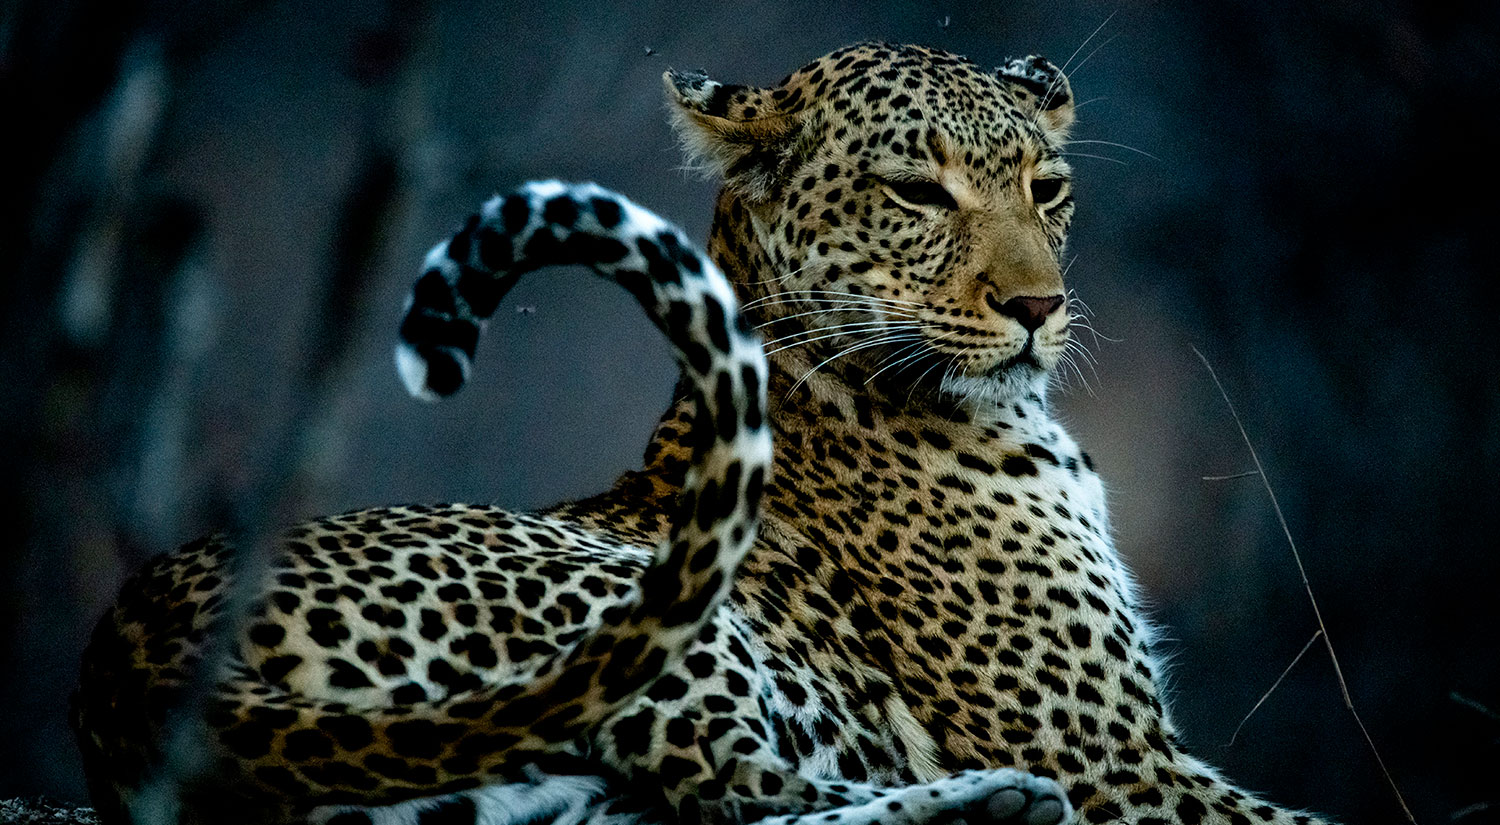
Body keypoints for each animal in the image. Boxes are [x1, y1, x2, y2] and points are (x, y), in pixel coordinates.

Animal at [71, 42, 1333, 825]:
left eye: (1049, 188)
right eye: (918, 194)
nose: (1039, 308)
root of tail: (128, 648)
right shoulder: (1115, 759)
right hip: (641, 605)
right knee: (742, 795)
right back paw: (992, 802)